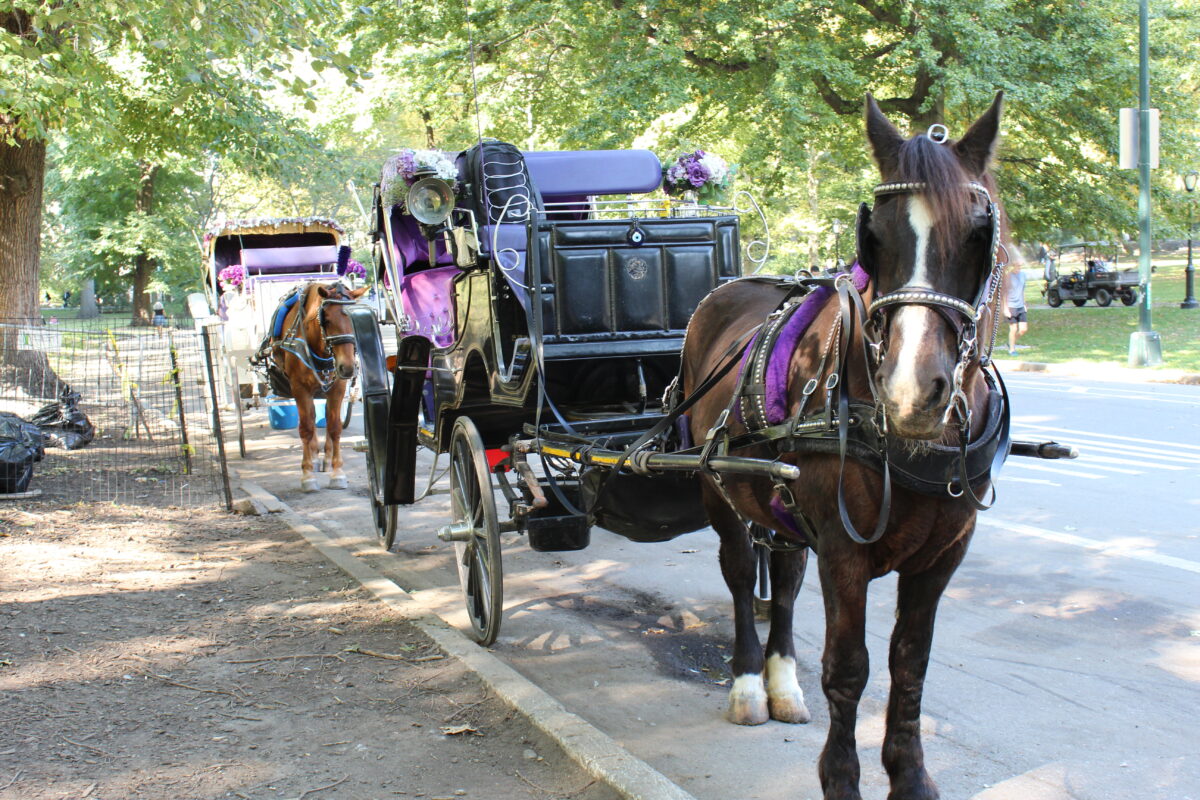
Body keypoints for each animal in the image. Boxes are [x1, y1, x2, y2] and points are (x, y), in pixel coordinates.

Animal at [267, 281, 364, 494]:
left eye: (354, 319)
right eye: (326, 320)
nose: (347, 367)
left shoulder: (337, 387)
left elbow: (334, 427)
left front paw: (337, 473)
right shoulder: (299, 388)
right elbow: (306, 428)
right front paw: (307, 474)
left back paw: (326, 458)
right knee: (310, 421)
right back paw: (313, 456)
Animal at [681, 95, 1008, 800]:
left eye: (979, 234)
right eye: (874, 236)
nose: (911, 391)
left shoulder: (943, 556)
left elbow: (910, 666)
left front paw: (910, 777)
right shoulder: (844, 550)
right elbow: (849, 669)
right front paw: (841, 778)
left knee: (784, 580)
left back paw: (780, 682)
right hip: (717, 486)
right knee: (741, 574)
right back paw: (748, 685)